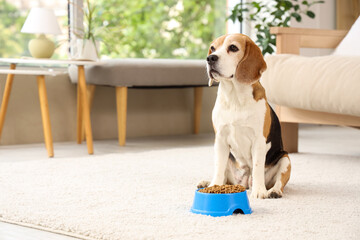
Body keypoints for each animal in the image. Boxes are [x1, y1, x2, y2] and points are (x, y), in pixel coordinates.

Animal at [198, 33, 292, 199]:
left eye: (233, 47)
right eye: (213, 48)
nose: (210, 58)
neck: (234, 97)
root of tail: (245, 182)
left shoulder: (259, 141)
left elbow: (257, 166)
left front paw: (259, 191)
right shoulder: (220, 139)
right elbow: (219, 167)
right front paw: (214, 186)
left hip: (285, 159)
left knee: (278, 182)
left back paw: (273, 191)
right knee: (224, 175)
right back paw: (206, 182)